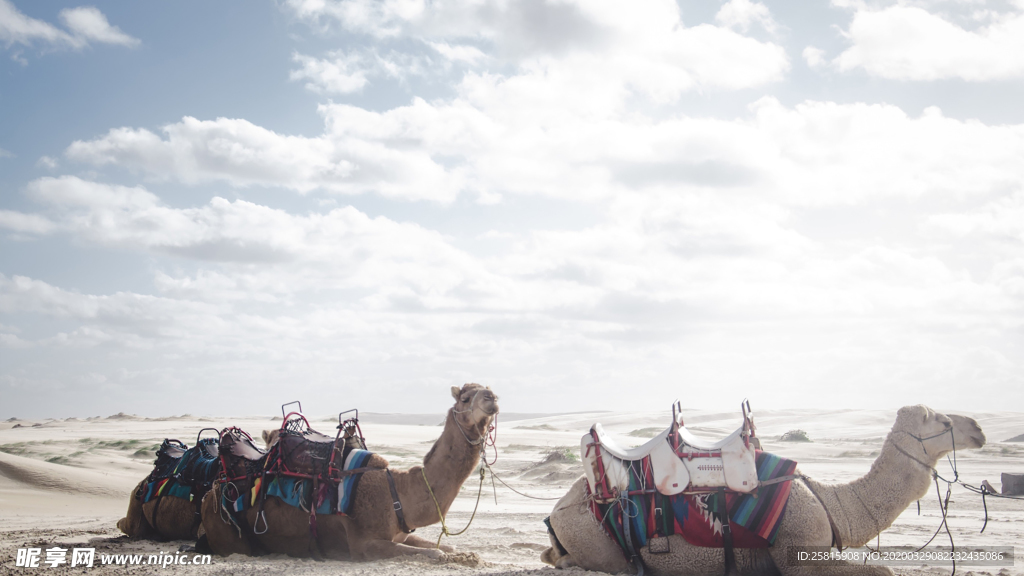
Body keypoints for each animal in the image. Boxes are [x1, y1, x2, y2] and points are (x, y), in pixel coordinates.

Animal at [200, 381, 499, 557]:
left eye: (487, 390)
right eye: (465, 398)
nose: (492, 397)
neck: (398, 492)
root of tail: (210, 493)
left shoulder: (402, 533)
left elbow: (447, 546)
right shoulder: (363, 543)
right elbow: (436, 553)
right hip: (226, 532)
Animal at [540, 403, 987, 573]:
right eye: (942, 420)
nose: (979, 429)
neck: (830, 502)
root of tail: (557, 508)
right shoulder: (798, 558)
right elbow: (885, 569)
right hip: (597, 542)